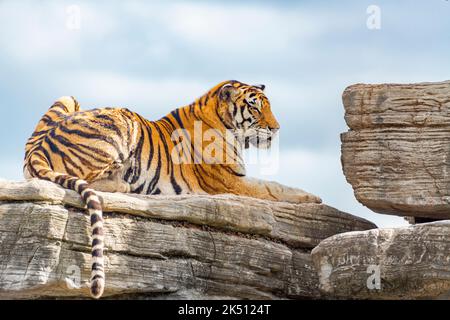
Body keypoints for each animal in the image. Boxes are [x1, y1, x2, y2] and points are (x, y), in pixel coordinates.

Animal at [23, 79, 320, 298]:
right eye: (255, 108)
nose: (276, 129)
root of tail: (37, 149)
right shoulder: (231, 180)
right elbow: (274, 188)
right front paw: (313, 198)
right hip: (124, 121)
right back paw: (125, 184)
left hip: (68, 98)